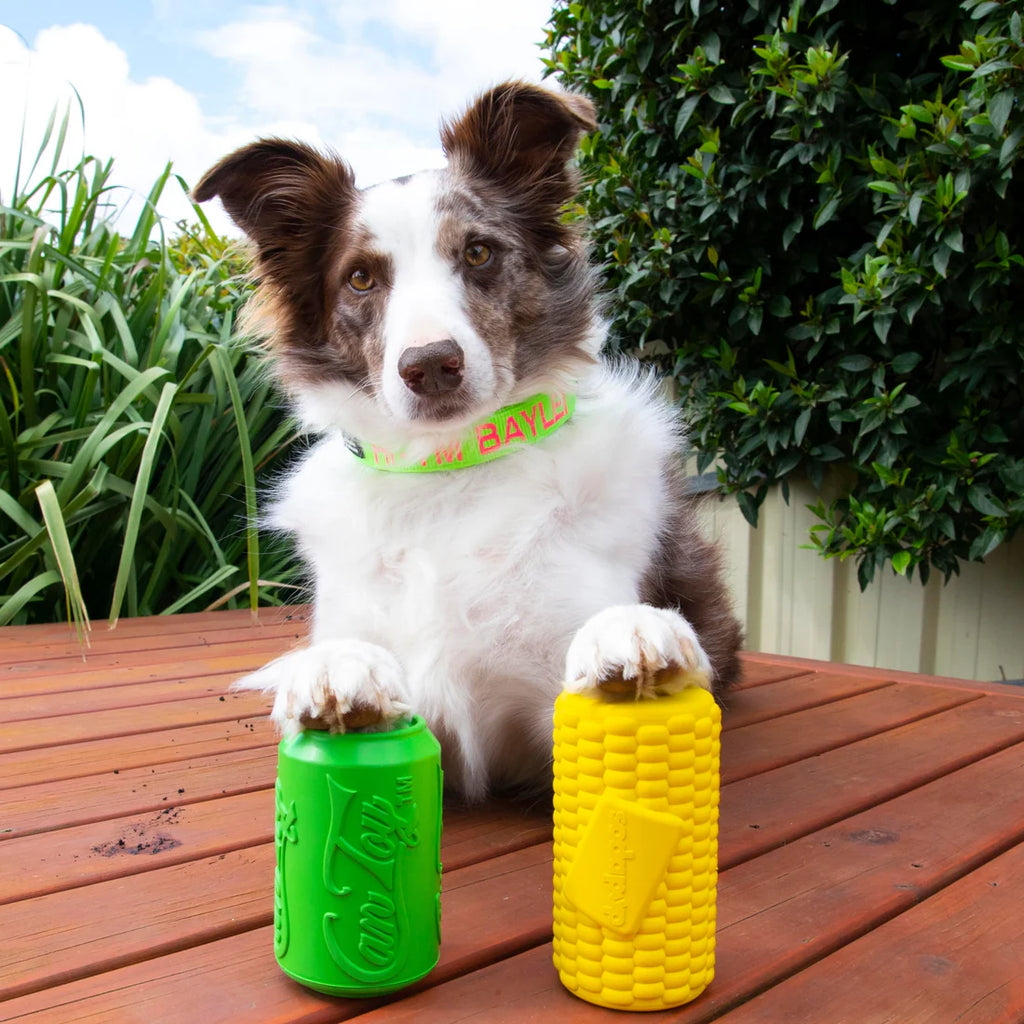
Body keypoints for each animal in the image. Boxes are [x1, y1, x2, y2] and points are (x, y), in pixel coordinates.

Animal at [195, 79, 741, 798]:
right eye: (360, 278)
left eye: (478, 252)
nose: (430, 365)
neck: (448, 473)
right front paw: (336, 668)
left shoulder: (539, 724)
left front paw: (631, 632)